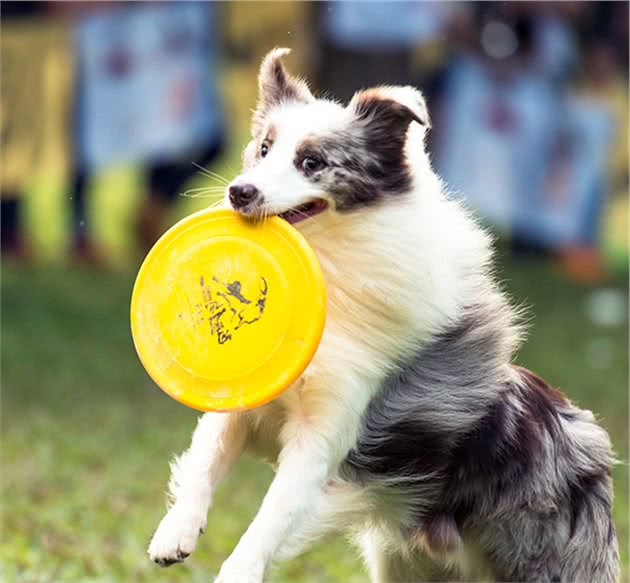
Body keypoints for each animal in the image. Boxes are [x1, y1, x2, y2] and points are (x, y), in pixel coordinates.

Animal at [149, 49, 624, 583]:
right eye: (264, 149)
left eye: (312, 162)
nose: (239, 192)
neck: (328, 265)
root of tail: (590, 443)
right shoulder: (246, 399)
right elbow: (206, 456)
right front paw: (175, 533)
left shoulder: (327, 433)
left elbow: (273, 514)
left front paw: (239, 569)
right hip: (402, 561)